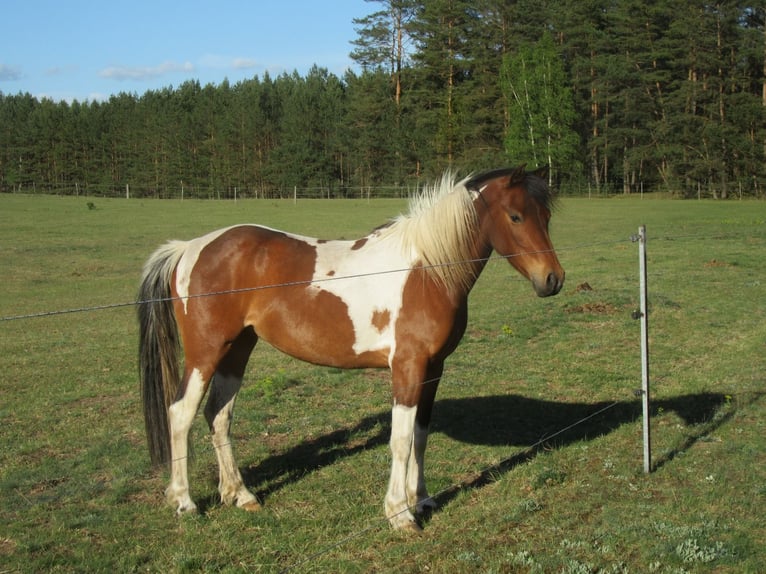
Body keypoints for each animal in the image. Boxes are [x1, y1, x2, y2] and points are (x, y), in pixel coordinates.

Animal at [138, 164, 568, 532]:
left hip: (237, 349)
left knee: (219, 415)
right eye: (515, 216)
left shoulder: (434, 368)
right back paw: (185, 502)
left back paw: (240, 495)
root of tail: (190, 248)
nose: (553, 280)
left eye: (546, 217)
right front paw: (400, 514)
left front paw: (422, 499)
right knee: (181, 413)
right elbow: (401, 439)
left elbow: (421, 434)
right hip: (206, 352)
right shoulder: (408, 367)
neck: (427, 271)